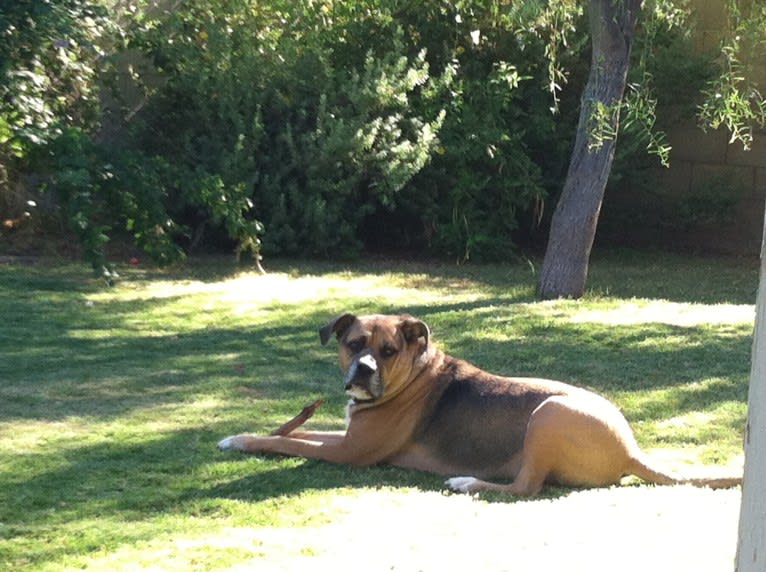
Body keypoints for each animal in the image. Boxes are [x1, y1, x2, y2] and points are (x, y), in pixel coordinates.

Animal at [219, 312, 748, 496]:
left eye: (388, 351)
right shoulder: (349, 433)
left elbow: (287, 444)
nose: (363, 371)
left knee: (525, 488)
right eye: (352, 344)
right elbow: (301, 430)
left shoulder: (349, 453)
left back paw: (468, 481)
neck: (413, 377)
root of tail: (630, 449)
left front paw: (243, 440)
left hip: (547, 414)